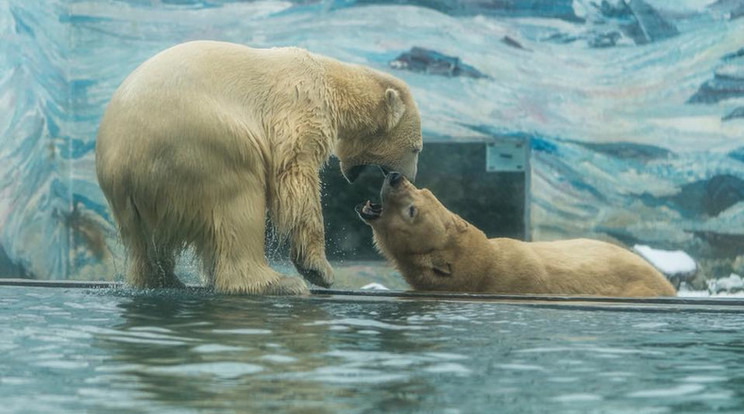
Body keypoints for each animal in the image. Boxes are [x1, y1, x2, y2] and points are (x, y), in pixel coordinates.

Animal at [97, 41, 424, 294]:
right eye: (416, 148)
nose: (405, 177)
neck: (330, 79)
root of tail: (124, 167)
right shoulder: (300, 104)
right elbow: (295, 178)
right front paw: (318, 270)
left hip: (137, 199)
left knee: (145, 245)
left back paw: (165, 280)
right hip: (201, 148)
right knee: (237, 204)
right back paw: (278, 283)